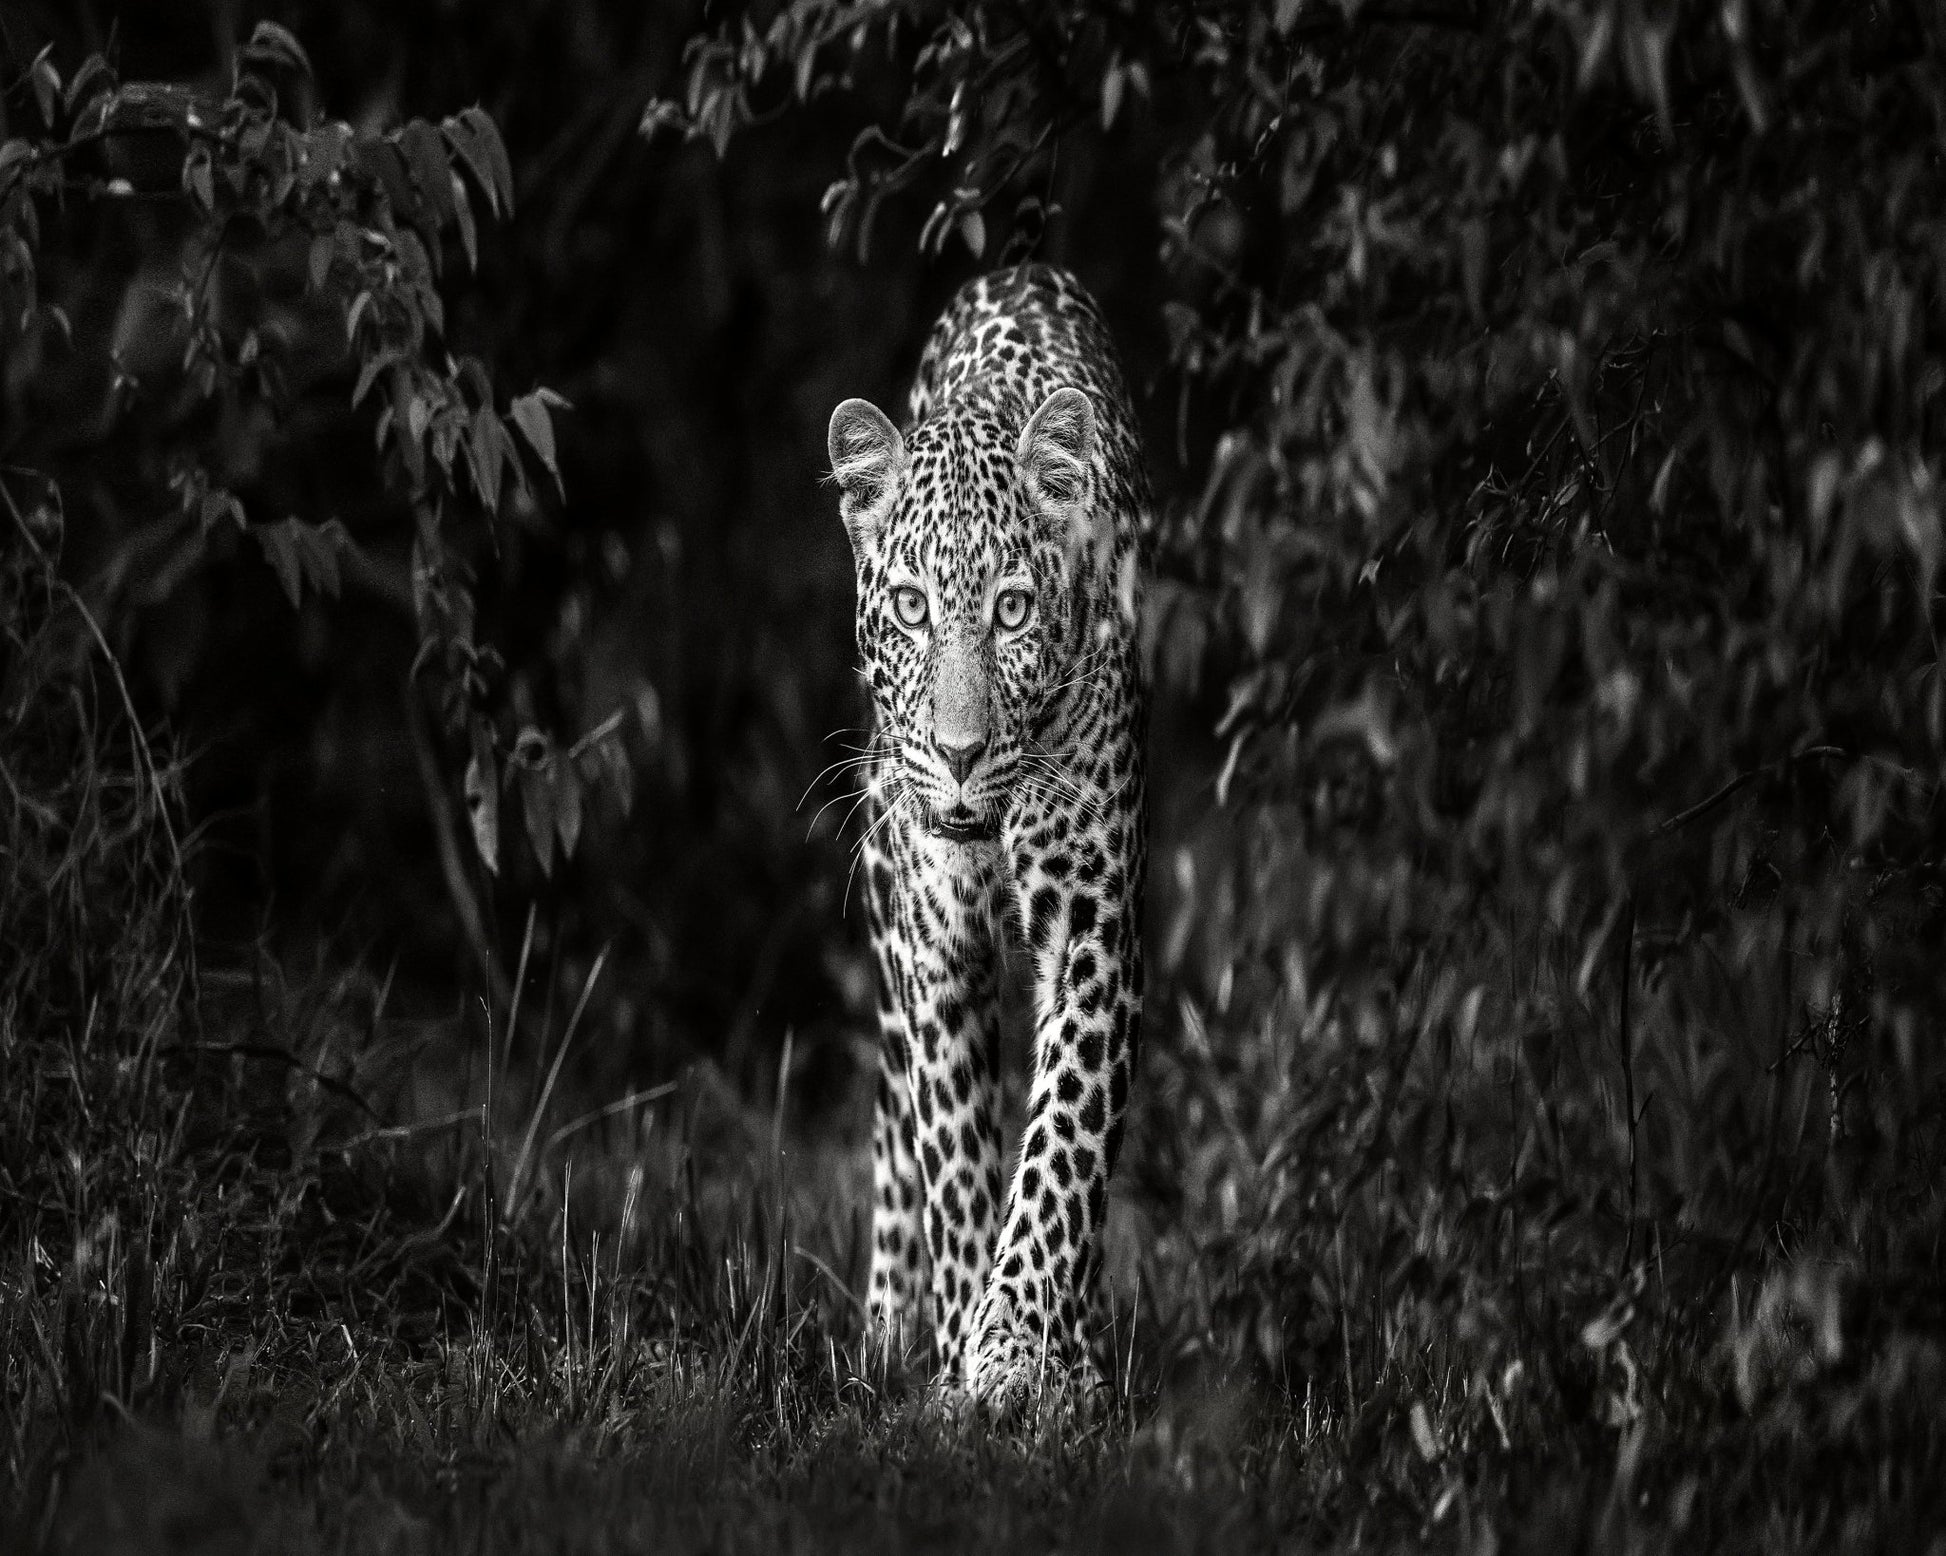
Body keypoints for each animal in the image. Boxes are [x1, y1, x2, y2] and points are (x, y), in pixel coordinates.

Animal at [825, 263, 1149, 1401]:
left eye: (1011, 610)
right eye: (913, 607)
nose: (959, 752)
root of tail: (1021, 266)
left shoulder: (1092, 924)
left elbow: (1065, 1144)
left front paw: (1019, 1351)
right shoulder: (933, 937)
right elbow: (953, 1150)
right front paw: (966, 1342)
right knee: (892, 1112)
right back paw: (887, 1328)